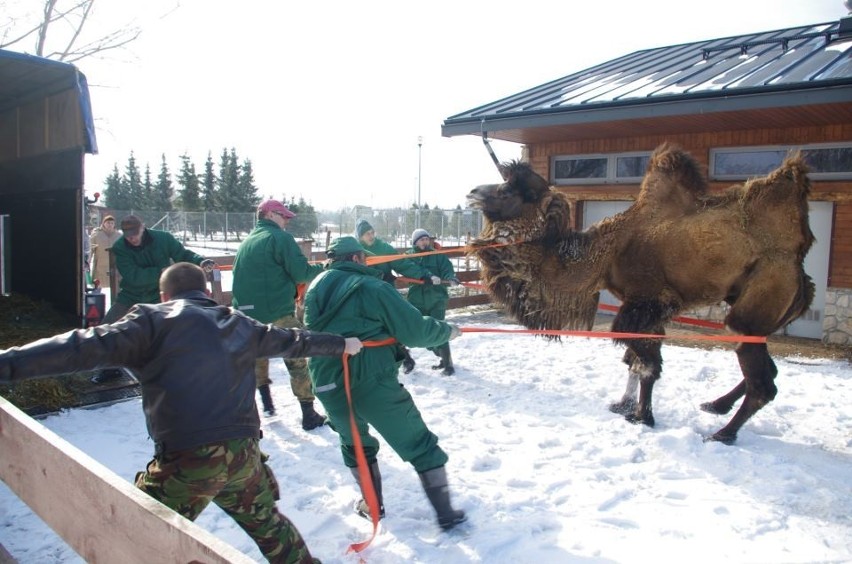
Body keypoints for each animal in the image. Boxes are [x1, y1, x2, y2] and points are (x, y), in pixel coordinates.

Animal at [470, 143, 816, 442]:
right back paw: (716, 406)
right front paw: (624, 406)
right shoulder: (644, 308)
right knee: (768, 370)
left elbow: (646, 364)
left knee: (761, 380)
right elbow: (634, 362)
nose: (473, 192)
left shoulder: (647, 302)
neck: (604, 254)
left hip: (762, 295)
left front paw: (643, 417)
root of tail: (798, 268)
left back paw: (722, 434)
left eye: (506, 191)